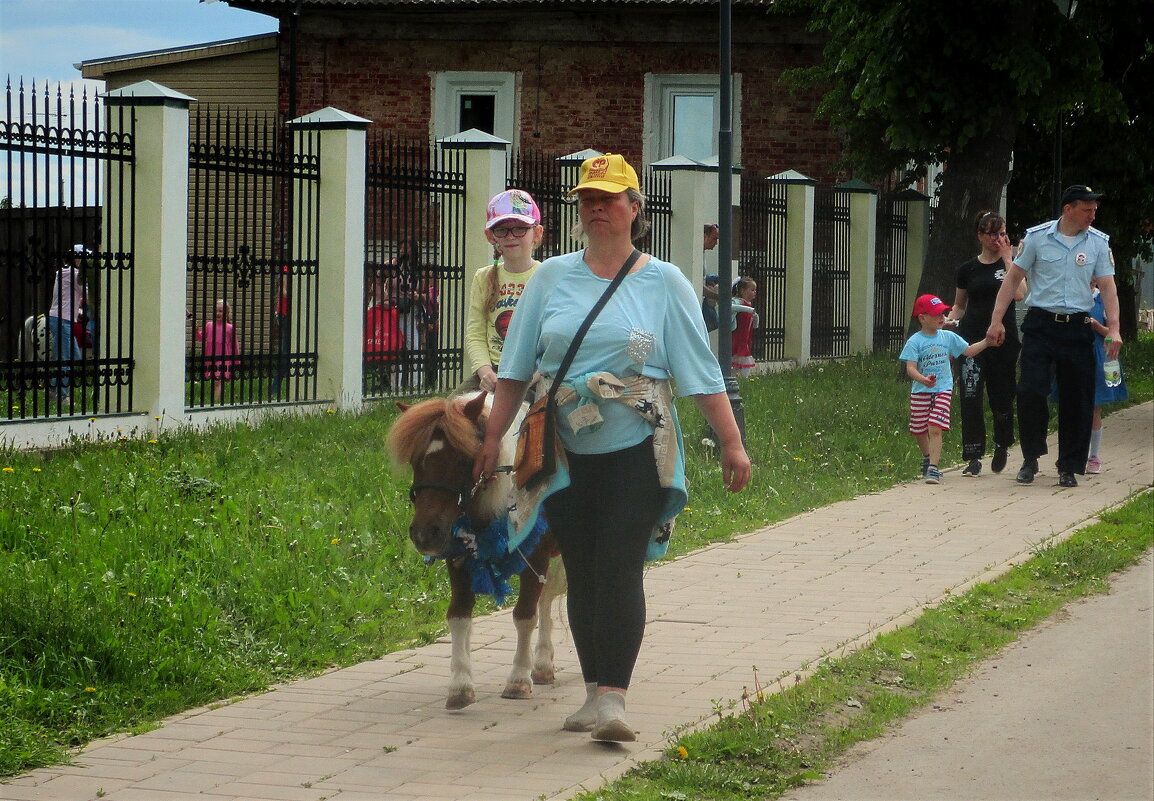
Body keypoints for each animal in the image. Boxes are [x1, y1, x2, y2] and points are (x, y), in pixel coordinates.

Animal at [387, 392, 567, 710]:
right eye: (415, 461)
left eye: (462, 459)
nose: (424, 534)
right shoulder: (457, 559)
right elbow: (458, 615)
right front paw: (460, 685)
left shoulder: (535, 556)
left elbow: (525, 615)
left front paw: (518, 680)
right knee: (547, 600)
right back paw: (543, 665)